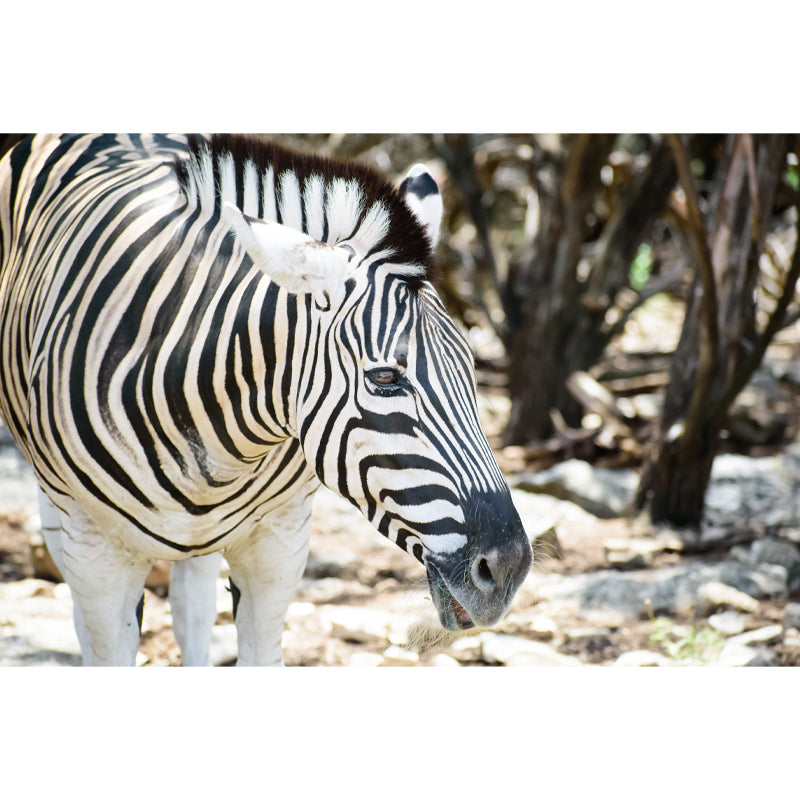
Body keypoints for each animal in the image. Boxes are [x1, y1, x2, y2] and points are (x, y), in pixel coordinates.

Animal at [0, 133, 532, 666]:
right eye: (384, 378)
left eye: (471, 368)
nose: (509, 568)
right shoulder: (97, 551)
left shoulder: (279, 544)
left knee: (192, 603)